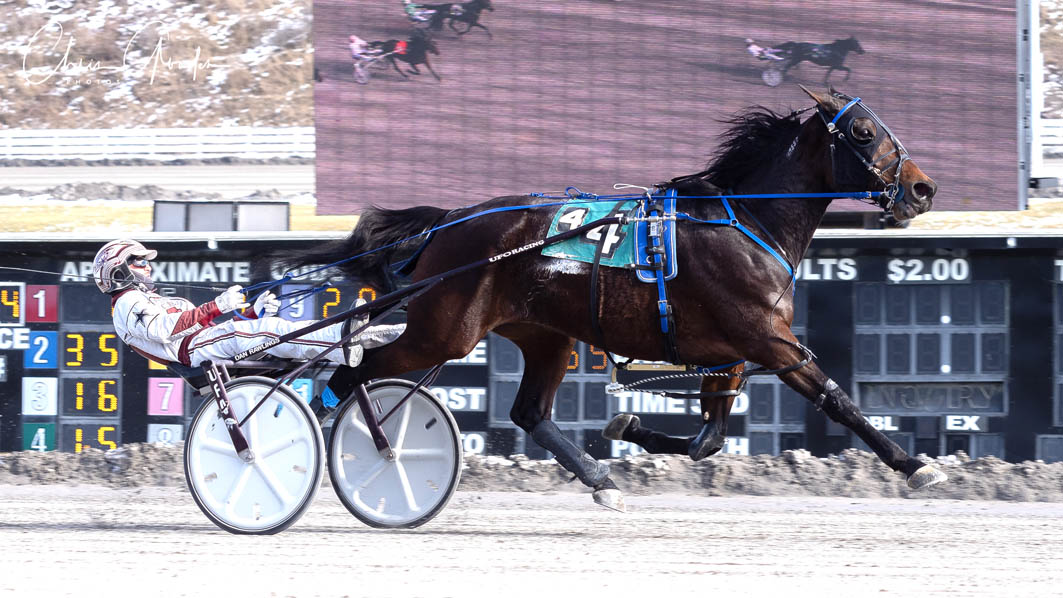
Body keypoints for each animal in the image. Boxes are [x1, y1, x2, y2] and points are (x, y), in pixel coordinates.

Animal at [282, 87, 943, 511]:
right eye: (863, 132)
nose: (922, 188)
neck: (745, 222)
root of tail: (450, 222)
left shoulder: (728, 353)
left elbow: (708, 439)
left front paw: (627, 426)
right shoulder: (768, 340)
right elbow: (838, 400)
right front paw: (914, 466)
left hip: (544, 335)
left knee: (530, 413)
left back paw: (601, 478)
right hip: (444, 330)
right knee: (355, 371)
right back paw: (327, 444)